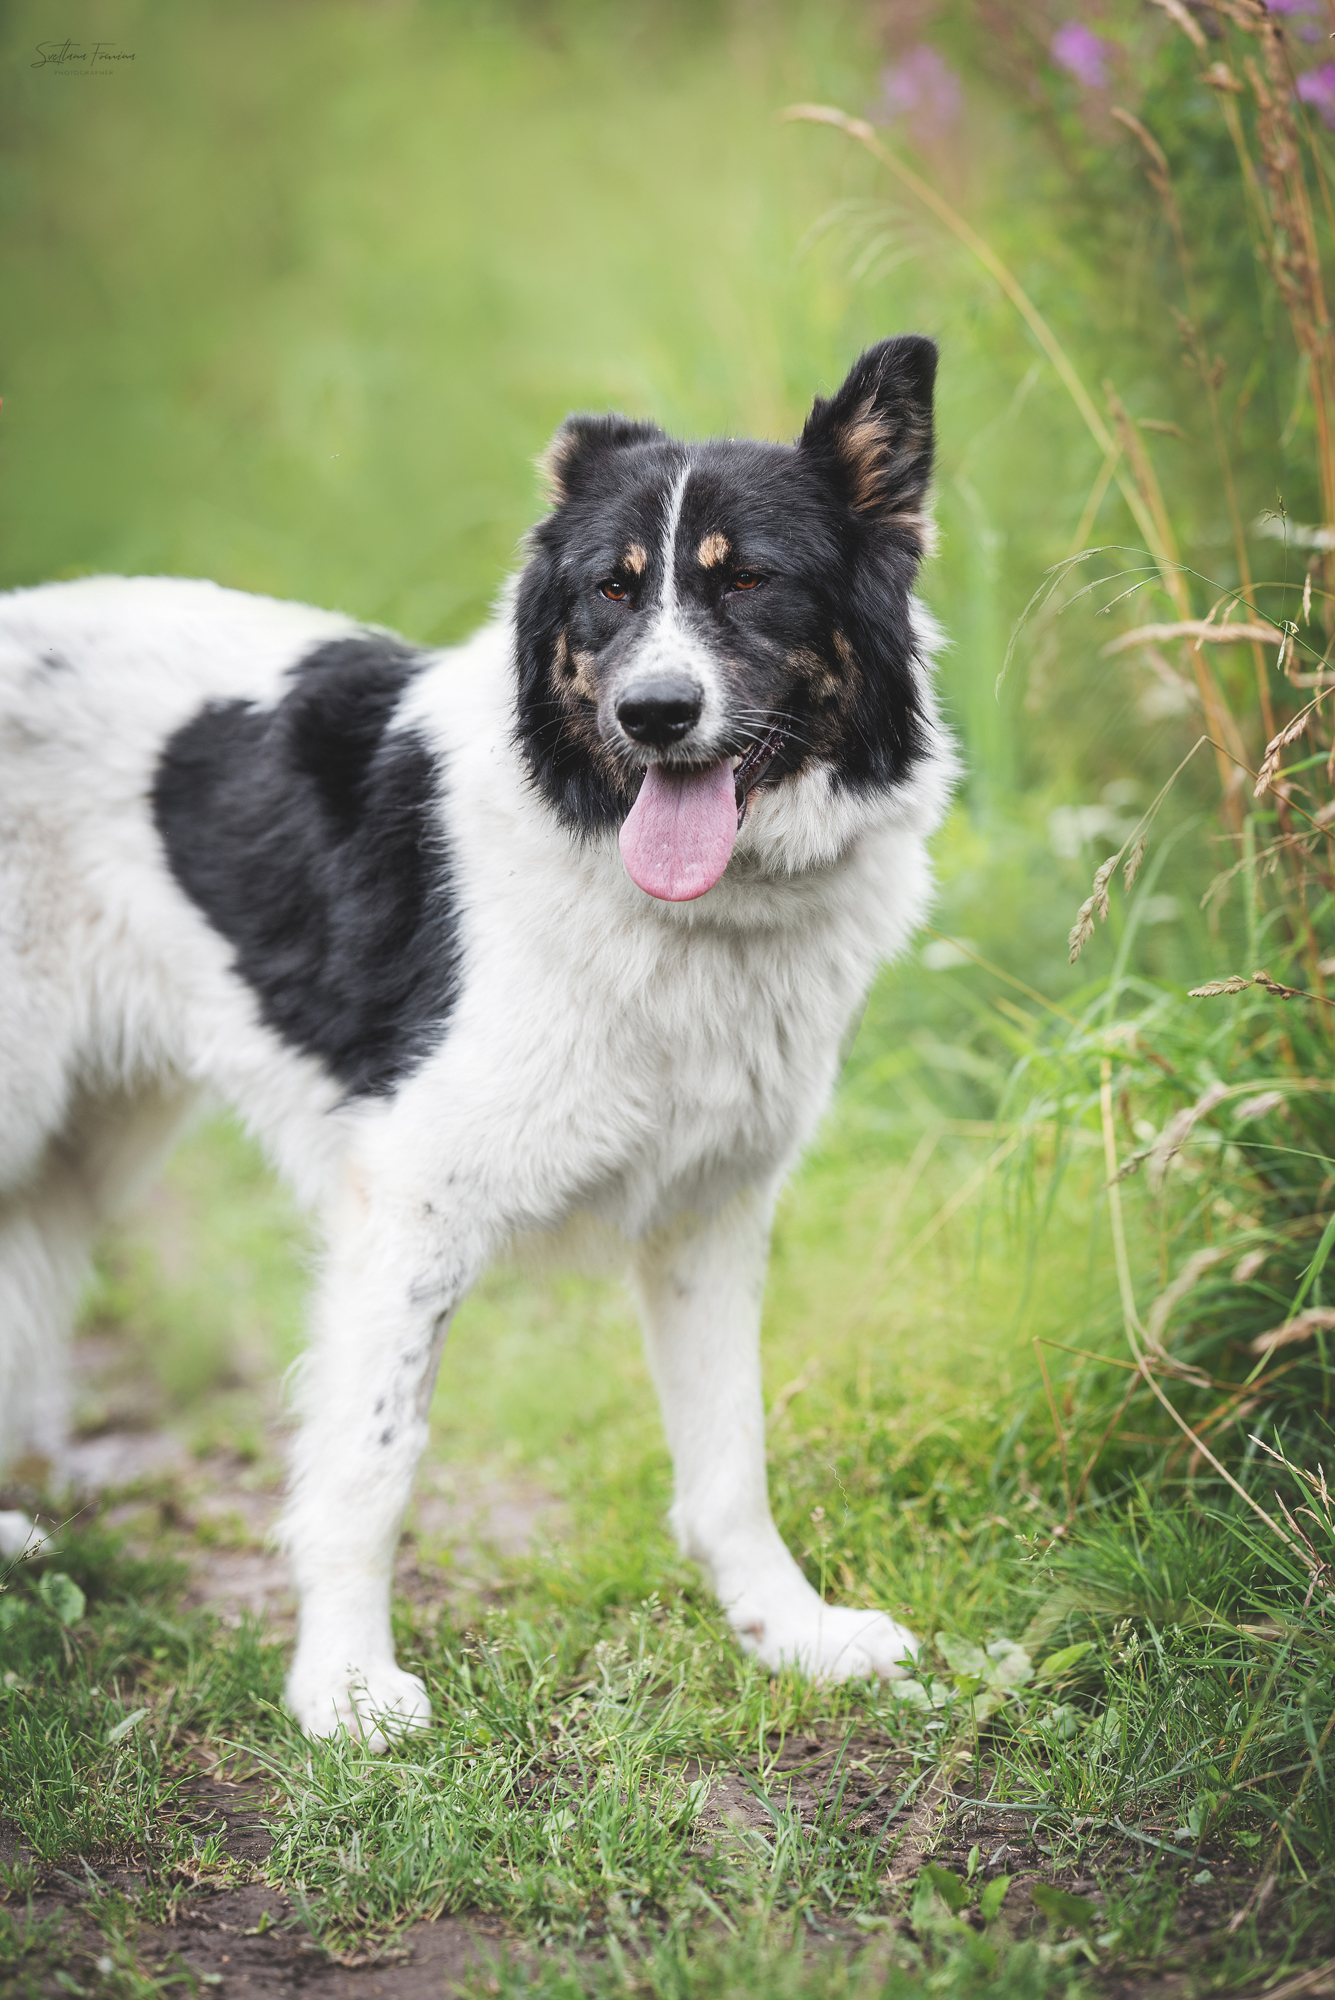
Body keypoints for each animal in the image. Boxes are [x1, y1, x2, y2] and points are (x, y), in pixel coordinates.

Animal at [0, 336, 959, 1744]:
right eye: (612, 590)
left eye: (752, 581)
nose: (656, 712)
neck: (666, 901)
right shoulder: (409, 1204)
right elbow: (371, 1461)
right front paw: (345, 1687)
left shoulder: (713, 1209)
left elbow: (730, 1454)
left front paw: (791, 1634)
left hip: (82, 1138)